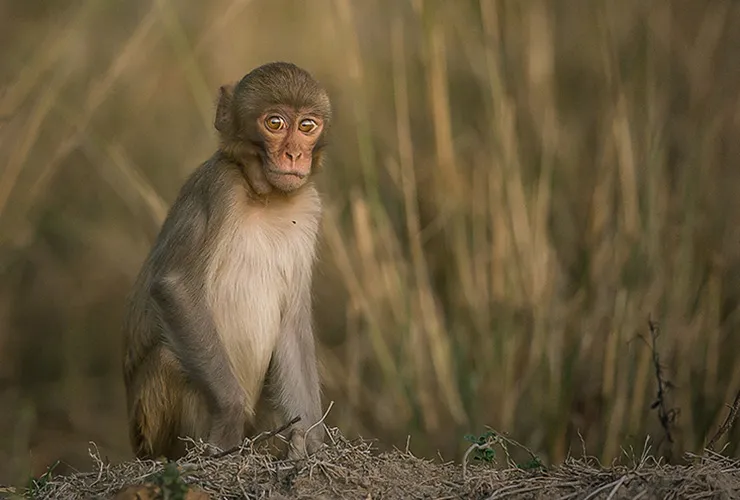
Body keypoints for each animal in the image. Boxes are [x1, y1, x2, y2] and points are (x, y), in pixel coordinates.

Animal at [121, 62, 330, 460]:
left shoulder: (309, 207)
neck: (266, 198)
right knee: (168, 359)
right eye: (275, 123)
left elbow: (293, 322)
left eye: (307, 126)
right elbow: (176, 287)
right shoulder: (219, 189)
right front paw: (231, 418)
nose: (294, 155)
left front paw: (311, 442)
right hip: (148, 423)